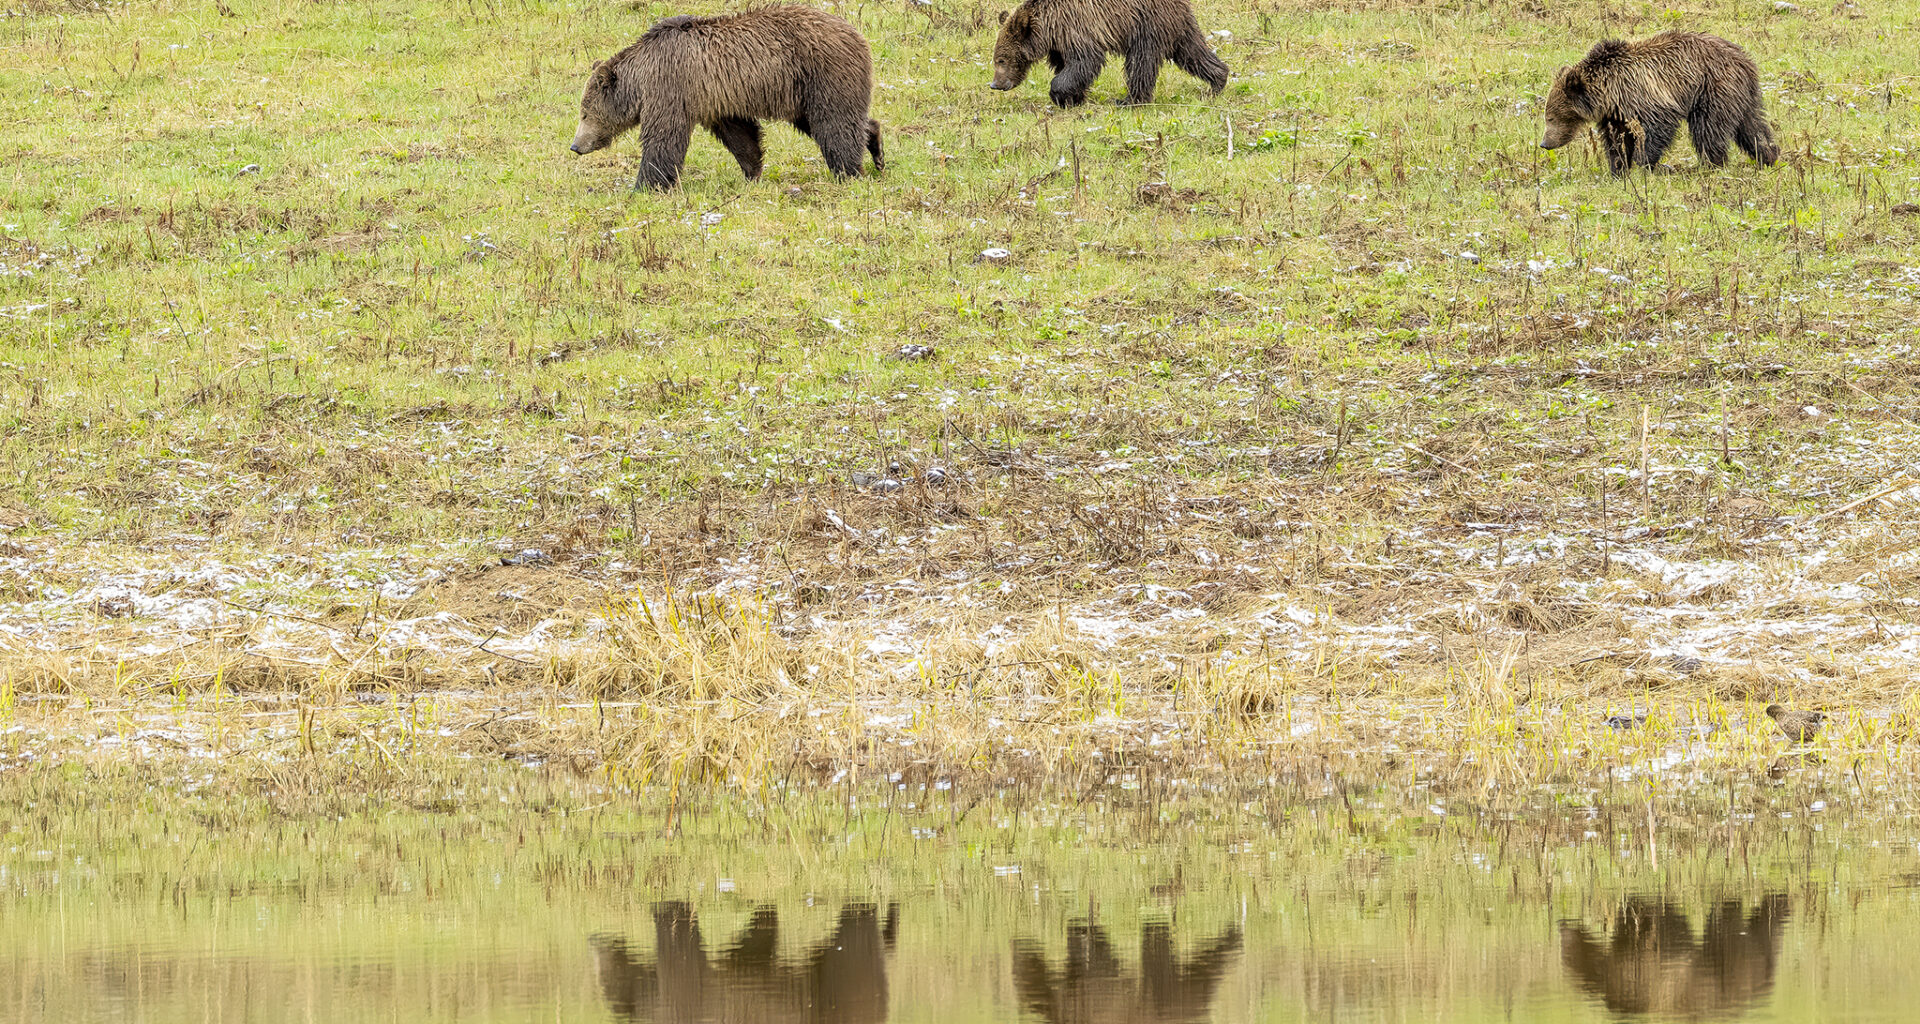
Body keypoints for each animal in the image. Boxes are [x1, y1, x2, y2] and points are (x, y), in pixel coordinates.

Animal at [569, 6, 883, 190]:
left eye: (584, 113)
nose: (575, 145)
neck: (640, 78)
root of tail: (856, 33)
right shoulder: (718, 98)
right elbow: (740, 136)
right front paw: (752, 172)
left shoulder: (671, 86)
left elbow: (663, 138)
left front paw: (646, 185)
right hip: (803, 94)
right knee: (837, 122)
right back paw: (875, 147)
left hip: (821, 73)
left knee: (834, 124)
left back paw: (849, 171)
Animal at [989, 0, 1228, 108]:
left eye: (1001, 59)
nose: (995, 84)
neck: (1049, 28)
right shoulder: (1059, 44)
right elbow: (1067, 66)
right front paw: (1074, 98)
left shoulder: (1076, 27)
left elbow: (1085, 61)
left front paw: (1059, 94)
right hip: (1177, 28)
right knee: (1193, 53)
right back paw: (1218, 81)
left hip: (1146, 25)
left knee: (1141, 63)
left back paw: (1129, 100)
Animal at [1539, 31, 1779, 175]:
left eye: (1550, 117)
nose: (1544, 143)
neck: (1610, 91)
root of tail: (1745, 60)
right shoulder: (1616, 114)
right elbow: (1616, 139)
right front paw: (1618, 168)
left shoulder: (1645, 95)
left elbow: (1657, 128)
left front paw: (1644, 163)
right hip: (1742, 96)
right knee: (1752, 126)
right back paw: (1769, 155)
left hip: (1713, 89)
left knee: (1709, 129)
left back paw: (1711, 164)